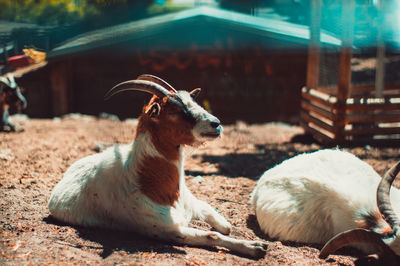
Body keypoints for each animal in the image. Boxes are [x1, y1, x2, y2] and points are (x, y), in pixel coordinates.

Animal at [48, 75, 268, 258]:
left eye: (194, 101)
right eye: (175, 110)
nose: (216, 124)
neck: (151, 185)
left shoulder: (191, 202)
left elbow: (221, 223)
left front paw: (231, 229)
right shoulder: (169, 230)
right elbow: (211, 236)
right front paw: (255, 247)